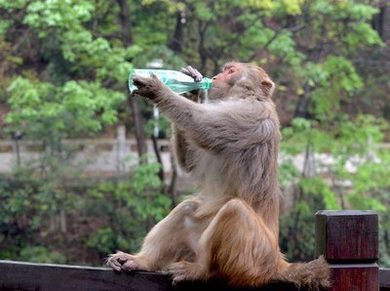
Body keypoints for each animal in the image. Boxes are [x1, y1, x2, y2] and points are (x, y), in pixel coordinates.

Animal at [106, 62, 330, 290]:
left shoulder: (250, 115)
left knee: (235, 210)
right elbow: (190, 163)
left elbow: (202, 127)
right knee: (188, 208)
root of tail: (277, 262)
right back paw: (143, 261)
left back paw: (202, 271)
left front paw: (158, 89)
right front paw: (194, 90)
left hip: (255, 258)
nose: (214, 77)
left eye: (230, 71)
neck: (244, 97)